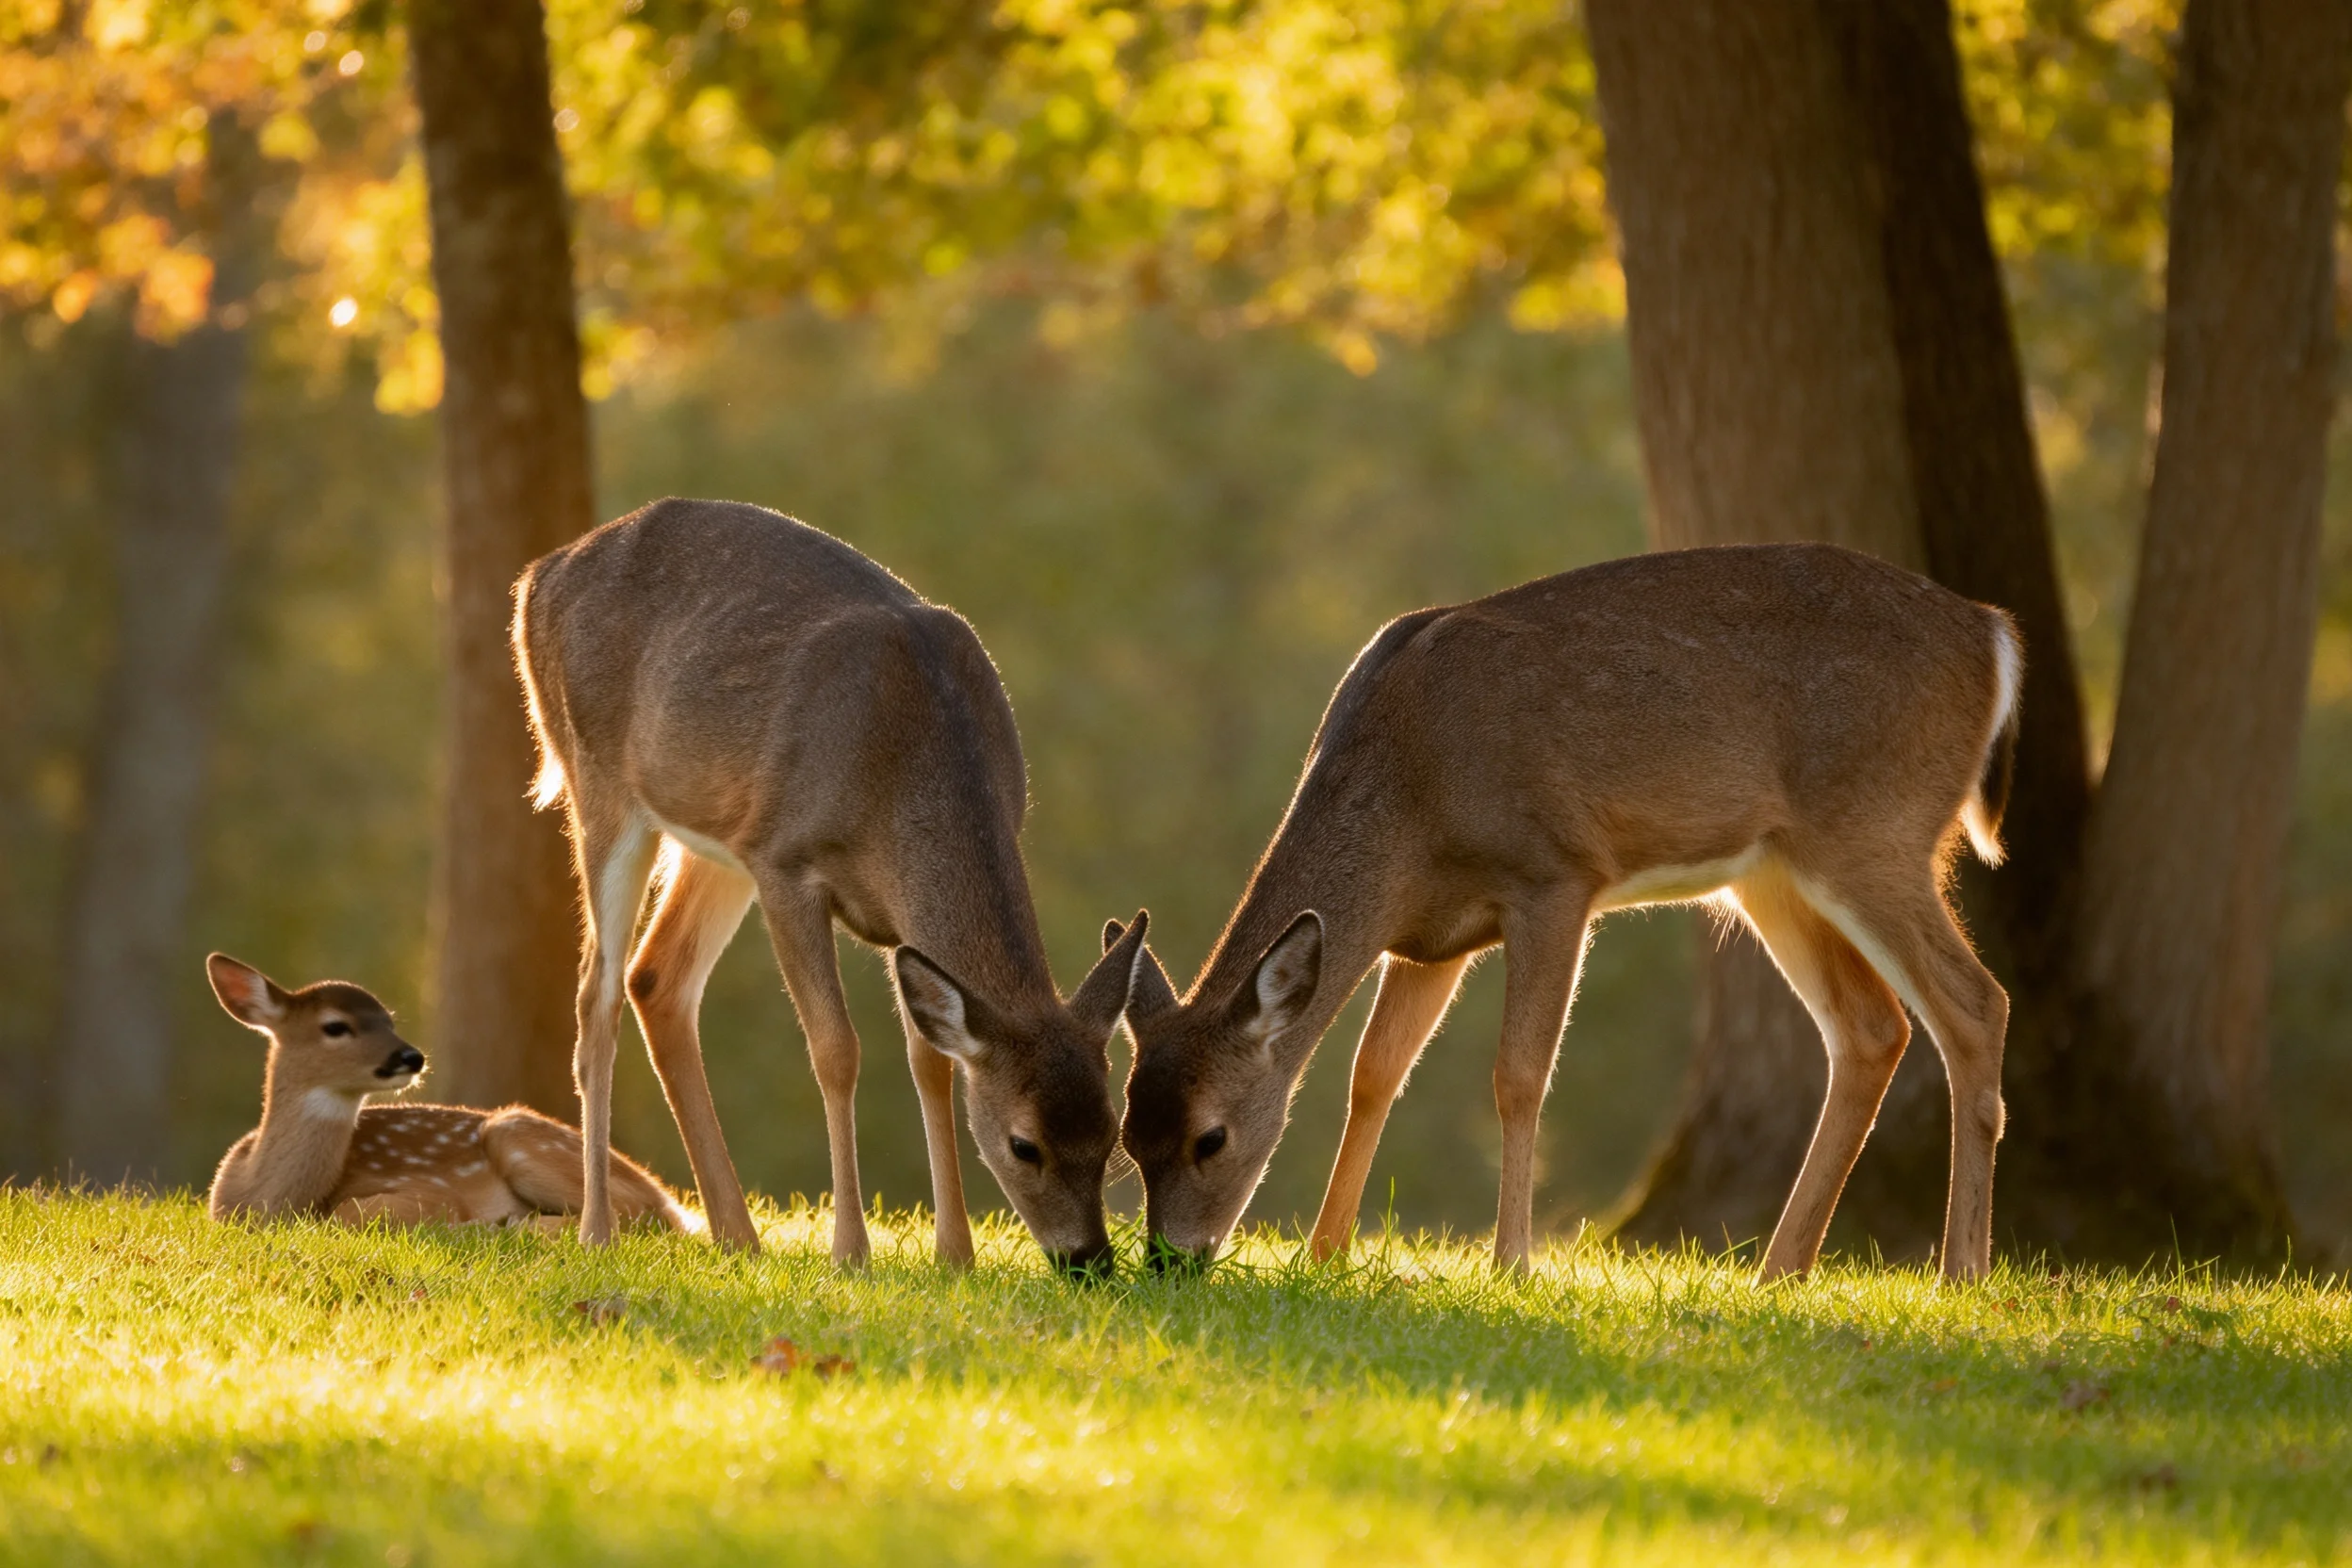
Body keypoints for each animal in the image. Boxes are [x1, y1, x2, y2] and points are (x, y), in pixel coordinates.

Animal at [204, 953, 692, 1230]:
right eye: (335, 1026)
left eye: (389, 1019)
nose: (411, 1057)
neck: (263, 1200)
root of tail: (669, 1197)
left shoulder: (431, 1192)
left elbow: (351, 1215)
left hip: (517, 1135)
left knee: (633, 1214)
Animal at [513, 497, 1149, 1275]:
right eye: (1023, 1145)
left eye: (1114, 1131)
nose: (1088, 1259)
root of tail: (537, 577)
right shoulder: (787, 862)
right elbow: (836, 1050)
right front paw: (851, 1250)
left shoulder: (886, 914)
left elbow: (929, 1059)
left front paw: (955, 1254)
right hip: (601, 781)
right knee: (595, 993)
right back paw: (597, 1231)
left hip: (722, 838)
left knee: (655, 977)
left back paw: (739, 1235)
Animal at [1114, 542, 2021, 1282]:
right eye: (1127, 1138)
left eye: (1210, 1137)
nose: (1169, 1261)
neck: (1409, 801)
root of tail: (1994, 635)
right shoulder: (1428, 940)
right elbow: (1373, 1075)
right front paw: (1325, 1254)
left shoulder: (1553, 875)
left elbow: (1518, 1074)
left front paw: (1511, 1265)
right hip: (1774, 872)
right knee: (1873, 1028)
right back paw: (1778, 1274)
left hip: (1874, 827)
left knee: (1976, 1003)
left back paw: (1959, 1275)